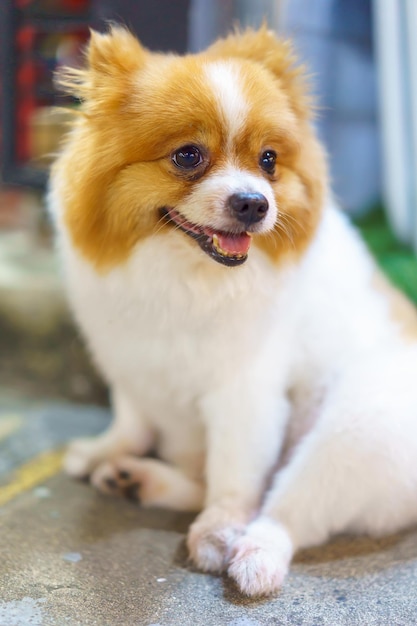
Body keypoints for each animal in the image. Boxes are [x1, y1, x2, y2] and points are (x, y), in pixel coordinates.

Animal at [47, 26, 416, 596]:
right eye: (188, 156)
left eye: (268, 160)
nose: (254, 202)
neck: (184, 276)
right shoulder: (131, 363)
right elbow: (132, 419)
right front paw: (107, 448)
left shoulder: (246, 393)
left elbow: (234, 478)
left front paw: (219, 530)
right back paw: (137, 478)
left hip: (358, 429)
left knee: (284, 510)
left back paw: (252, 554)